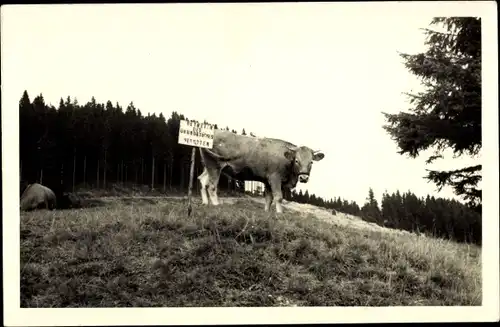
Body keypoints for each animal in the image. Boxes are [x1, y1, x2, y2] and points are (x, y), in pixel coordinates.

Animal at [197, 129, 326, 214]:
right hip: (214, 165)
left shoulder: (267, 180)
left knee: (202, 180)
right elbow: (278, 197)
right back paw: (216, 205)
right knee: (211, 186)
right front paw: (279, 214)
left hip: (208, 166)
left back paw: (205, 203)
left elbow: (268, 199)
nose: (304, 178)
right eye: (297, 160)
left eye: (311, 162)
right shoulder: (275, 178)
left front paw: (267, 213)